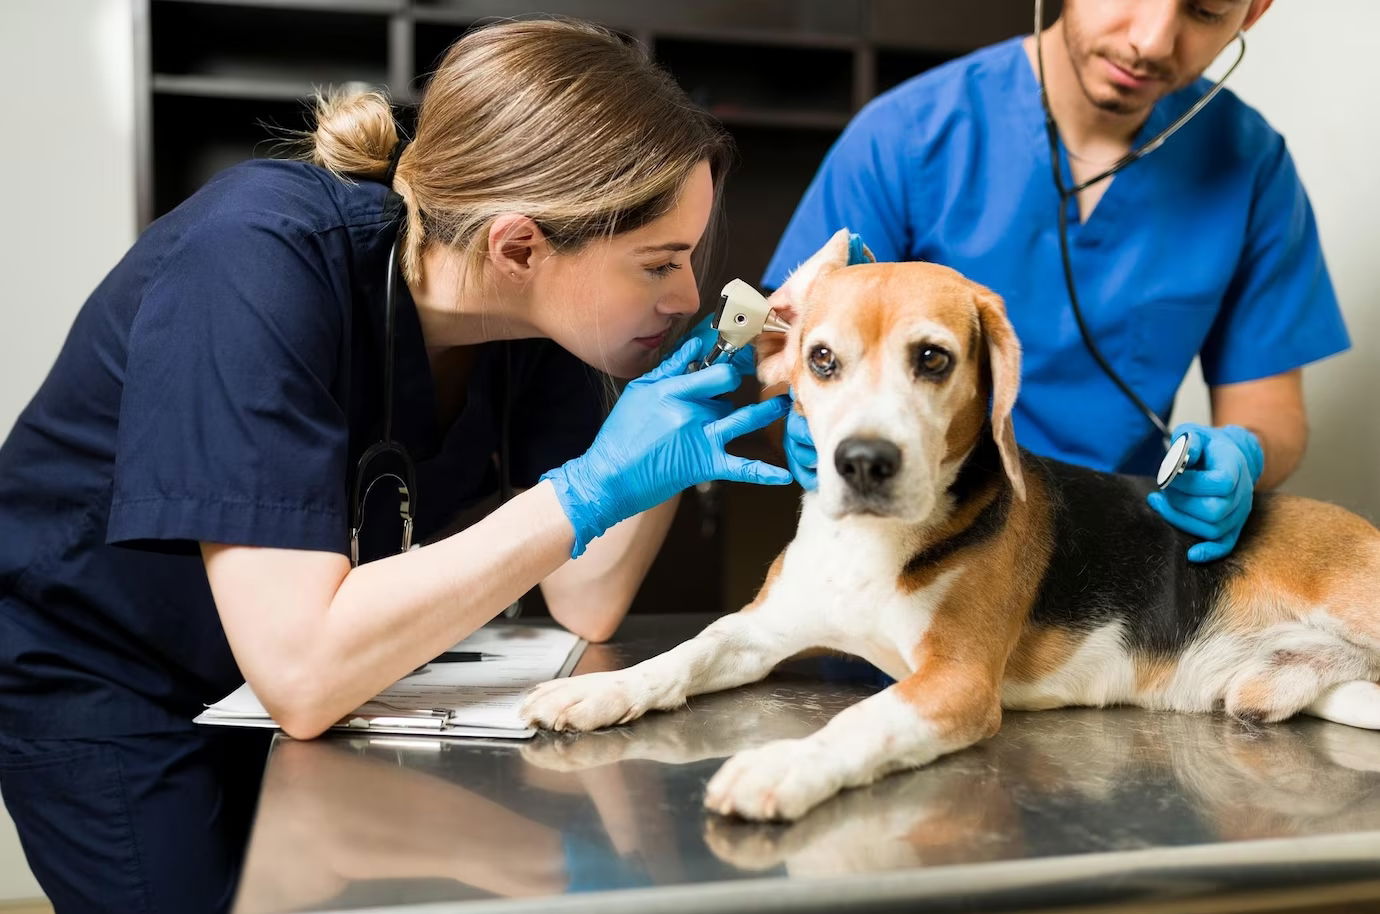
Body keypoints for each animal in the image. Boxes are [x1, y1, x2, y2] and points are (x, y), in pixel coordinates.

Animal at [518, 229, 1380, 822]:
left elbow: (861, 722)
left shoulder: (955, 683)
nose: (863, 461)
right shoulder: (760, 630)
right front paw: (597, 690)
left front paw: (783, 767)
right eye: (821, 359)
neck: (869, 549)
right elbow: (686, 652)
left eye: (932, 359)